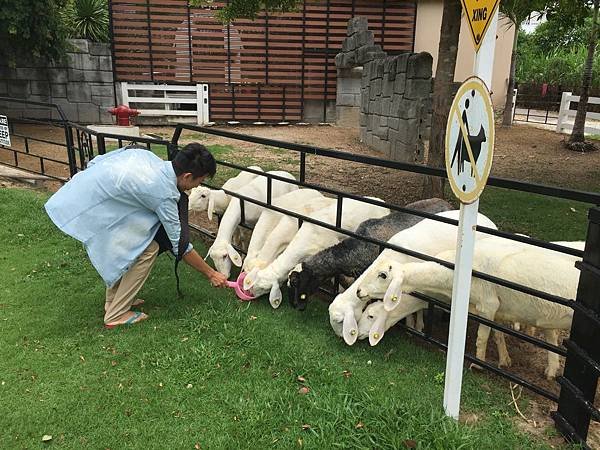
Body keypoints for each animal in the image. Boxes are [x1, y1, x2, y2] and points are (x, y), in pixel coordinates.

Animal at [356, 237, 580, 378]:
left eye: (383, 275)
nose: (358, 291)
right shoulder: (496, 310)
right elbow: (498, 335)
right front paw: (504, 360)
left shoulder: (488, 305)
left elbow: (482, 337)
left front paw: (478, 364)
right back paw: (551, 371)